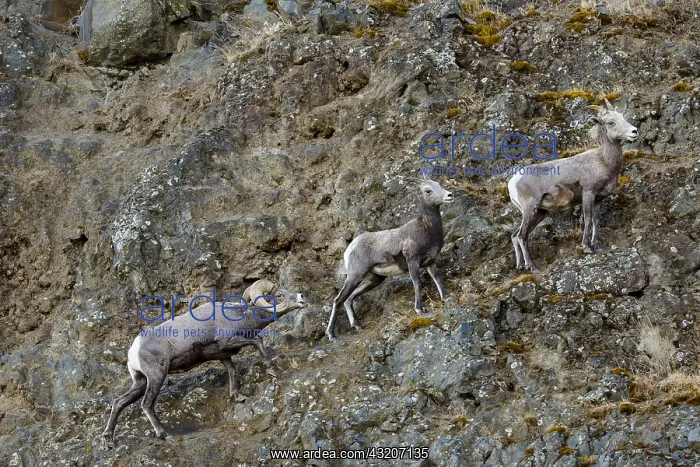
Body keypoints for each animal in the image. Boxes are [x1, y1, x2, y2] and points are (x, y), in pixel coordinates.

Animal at [102, 279, 305, 448]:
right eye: (280, 295)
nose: (302, 297)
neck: (238, 315)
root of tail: (133, 351)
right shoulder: (230, 342)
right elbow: (258, 341)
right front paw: (271, 371)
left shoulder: (224, 355)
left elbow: (232, 371)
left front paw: (238, 396)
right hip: (156, 377)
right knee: (146, 405)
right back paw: (165, 435)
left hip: (140, 382)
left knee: (119, 402)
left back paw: (109, 440)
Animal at [326, 179, 454, 341]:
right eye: (428, 190)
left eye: (439, 185)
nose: (449, 195)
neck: (426, 228)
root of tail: (349, 249)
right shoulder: (412, 261)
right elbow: (417, 283)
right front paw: (419, 309)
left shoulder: (430, 262)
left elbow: (437, 279)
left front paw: (446, 299)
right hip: (355, 276)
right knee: (338, 300)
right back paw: (331, 335)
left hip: (374, 279)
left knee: (349, 299)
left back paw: (358, 326)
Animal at [507, 99, 638, 273]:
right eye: (611, 122)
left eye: (622, 117)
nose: (634, 131)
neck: (603, 162)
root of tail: (513, 182)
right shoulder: (588, 193)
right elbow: (588, 219)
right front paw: (587, 247)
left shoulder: (598, 199)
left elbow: (596, 220)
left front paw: (598, 247)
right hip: (530, 210)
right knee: (522, 235)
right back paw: (532, 267)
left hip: (539, 213)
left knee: (515, 235)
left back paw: (521, 266)